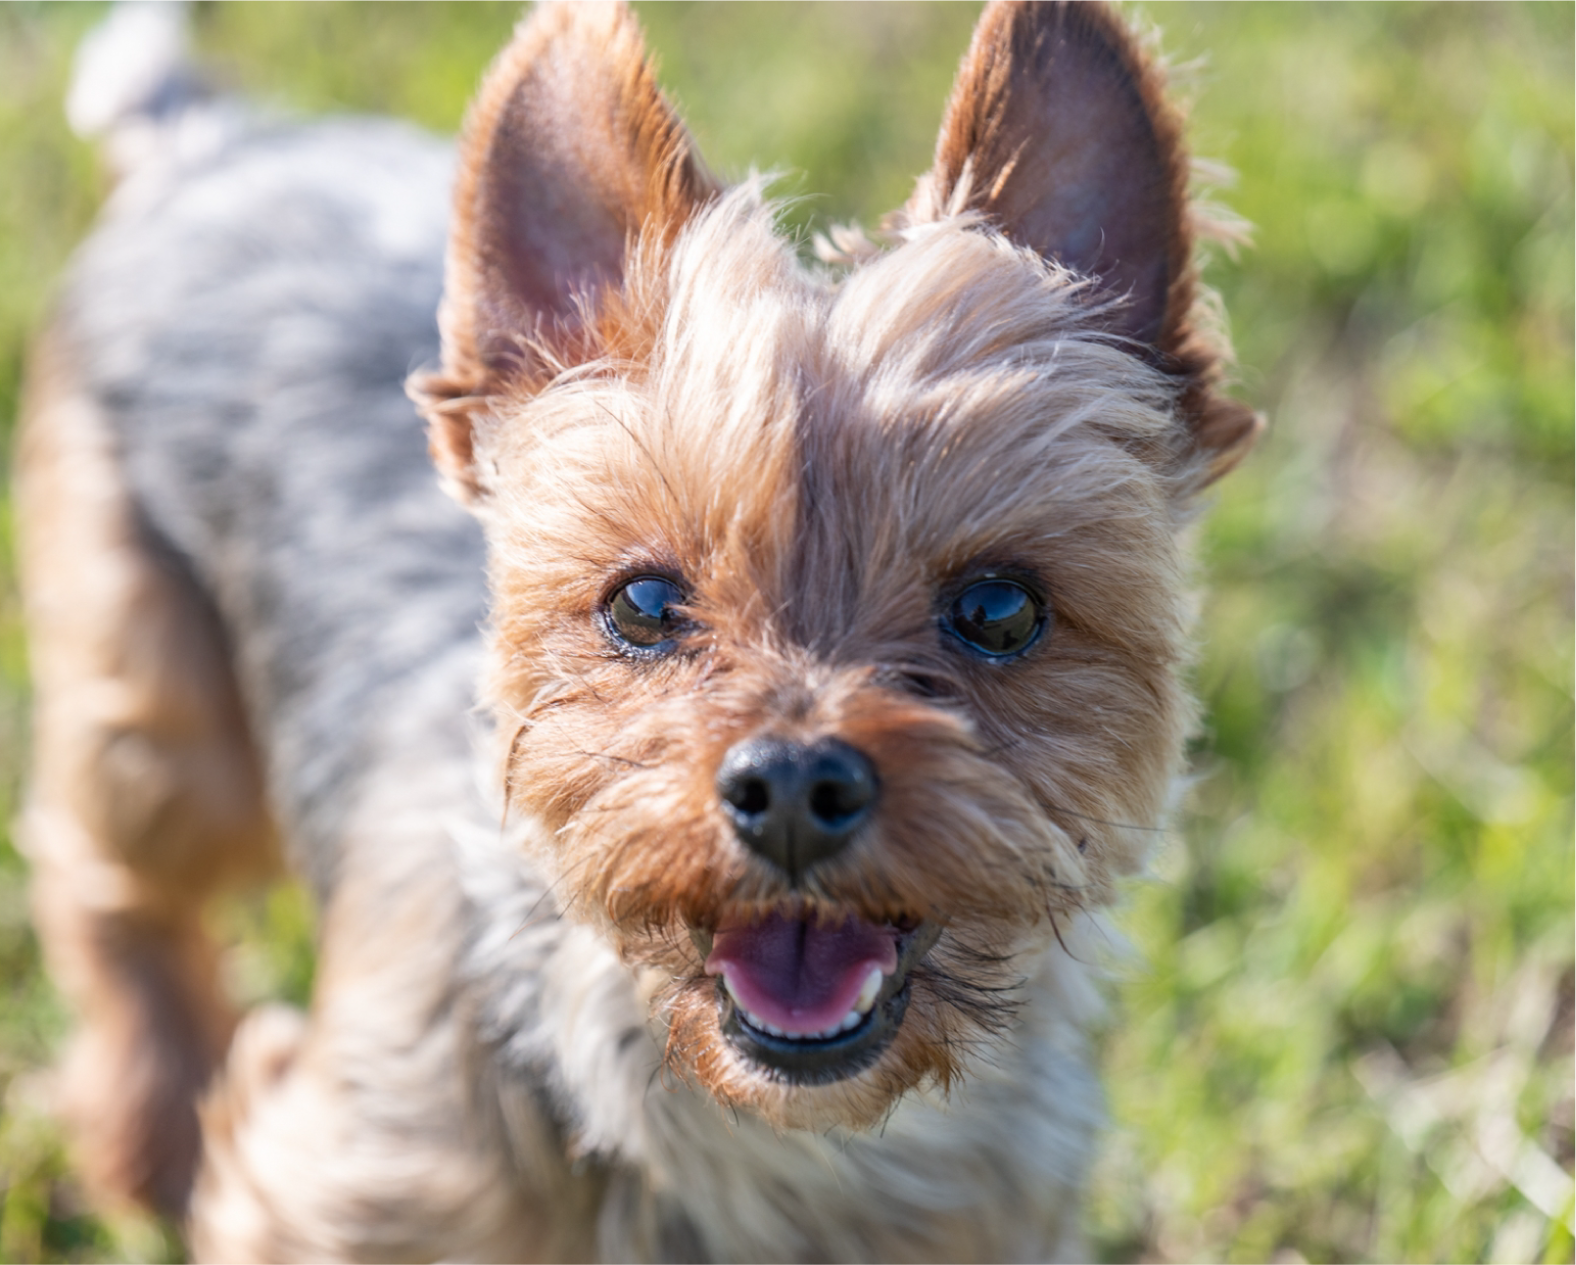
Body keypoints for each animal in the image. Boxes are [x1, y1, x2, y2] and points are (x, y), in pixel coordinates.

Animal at [18, 0, 1254, 1260]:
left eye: (999, 610)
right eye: (644, 605)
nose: (794, 782)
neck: (751, 1129)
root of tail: (221, 142)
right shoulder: (327, 1189)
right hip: (170, 720)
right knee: (106, 868)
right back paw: (153, 1128)